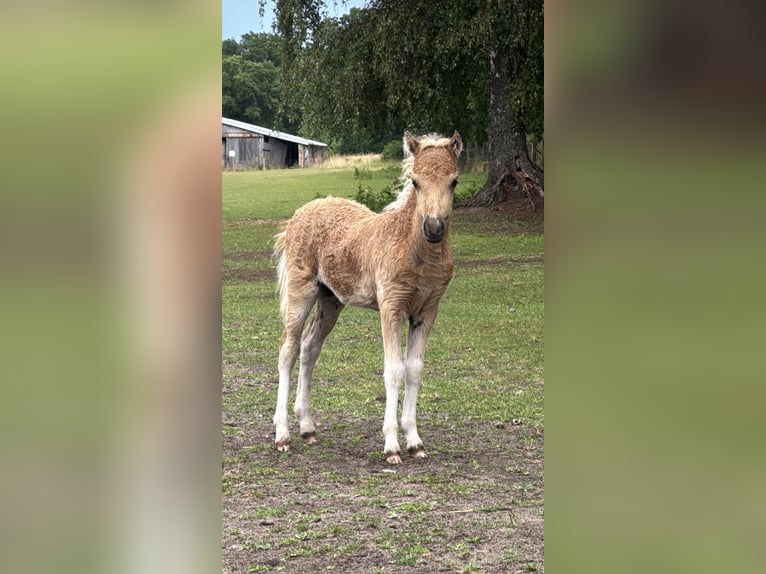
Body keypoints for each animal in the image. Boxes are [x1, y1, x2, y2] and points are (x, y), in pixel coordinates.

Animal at [272, 130, 463, 464]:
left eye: (454, 181)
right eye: (415, 181)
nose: (434, 228)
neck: (413, 250)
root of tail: (298, 215)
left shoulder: (427, 311)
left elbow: (414, 370)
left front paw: (415, 441)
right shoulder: (391, 308)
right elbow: (394, 371)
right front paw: (392, 446)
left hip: (330, 300)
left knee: (310, 347)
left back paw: (307, 428)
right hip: (301, 291)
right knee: (288, 349)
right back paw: (282, 434)